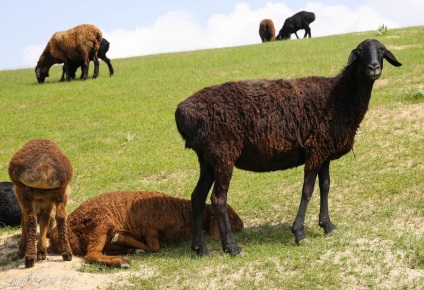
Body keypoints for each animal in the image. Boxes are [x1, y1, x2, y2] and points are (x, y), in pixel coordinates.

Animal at [8, 138, 73, 268]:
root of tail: (44, 168)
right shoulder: (47, 202)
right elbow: (45, 221)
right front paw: (41, 251)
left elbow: (26, 220)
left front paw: (22, 249)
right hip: (61, 192)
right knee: (60, 217)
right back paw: (65, 253)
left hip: (23, 192)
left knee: (30, 219)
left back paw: (29, 257)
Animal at [48, 190, 243, 268]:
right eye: (229, 215)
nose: (241, 225)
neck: (182, 212)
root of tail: (56, 236)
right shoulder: (150, 230)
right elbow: (154, 248)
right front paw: (124, 240)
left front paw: (127, 242)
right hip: (100, 223)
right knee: (92, 255)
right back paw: (121, 261)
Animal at [174, 39, 402, 256]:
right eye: (361, 51)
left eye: (382, 50)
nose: (374, 67)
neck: (340, 95)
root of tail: (182, 112)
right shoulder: (315, 151)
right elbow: (307, 190)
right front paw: (299, 233)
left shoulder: (324, 152)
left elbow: (325, 186)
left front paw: (327, 226)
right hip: (223, 153)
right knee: (218, 199)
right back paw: (232, 247)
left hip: (208, 158)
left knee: (197, 196)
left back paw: (200, 249)